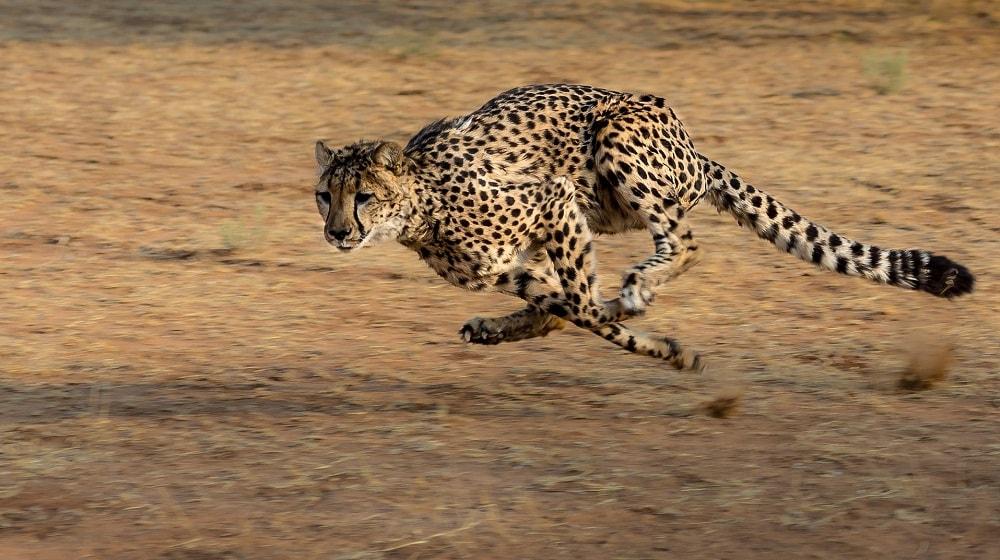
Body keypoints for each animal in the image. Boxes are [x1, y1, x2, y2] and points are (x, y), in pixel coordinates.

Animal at [313, 84, 974, 371]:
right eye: (325, 196)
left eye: (363, 196)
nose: (337, 233)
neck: (420, 207)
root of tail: (693, 146)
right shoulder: (510, 267)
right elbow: (567, 309)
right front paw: (659, 344)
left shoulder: (553, 200)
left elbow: (583, 306)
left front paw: (659, 341)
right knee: (566, 305)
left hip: (615, 143)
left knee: (684, 242)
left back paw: (637, 287)